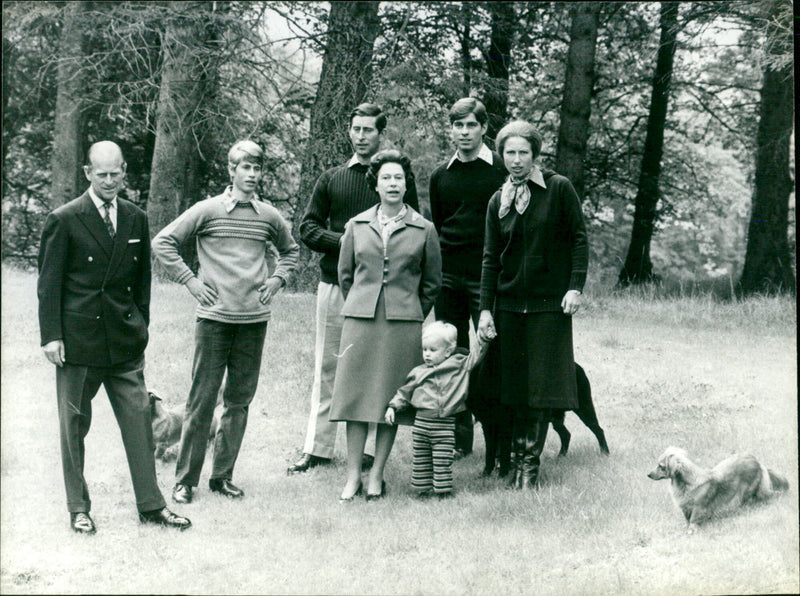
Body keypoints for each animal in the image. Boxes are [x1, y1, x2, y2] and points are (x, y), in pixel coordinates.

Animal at [648, 444, 788, 532]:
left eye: (661, 466)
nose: (648, 474)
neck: (686, 484)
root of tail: (756, 461)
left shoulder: (698, 508)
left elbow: (693, 520)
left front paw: (691, 530)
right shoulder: (685, 508)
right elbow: (687, 520)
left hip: (750, 491)